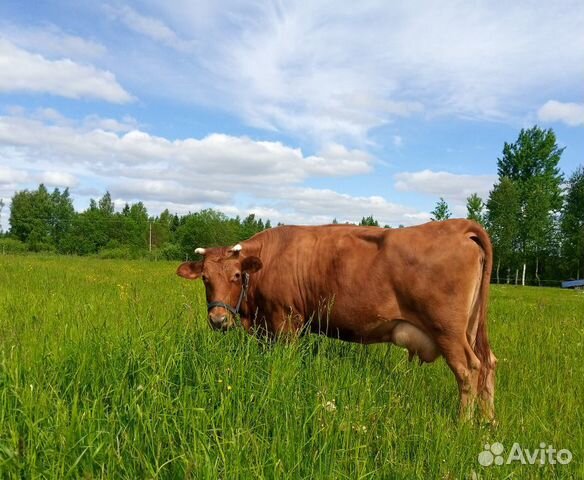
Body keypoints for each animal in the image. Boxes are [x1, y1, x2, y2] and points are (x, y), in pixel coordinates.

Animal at [178, 219, 498, 418]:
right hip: (470, 328)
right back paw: (487, 422)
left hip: (448, 331)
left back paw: (463, 424)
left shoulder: (285, 323)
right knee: (488, 364)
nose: (218, 319)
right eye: (205, 278)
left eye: (235, 276)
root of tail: (458, 225)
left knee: (469, 369)